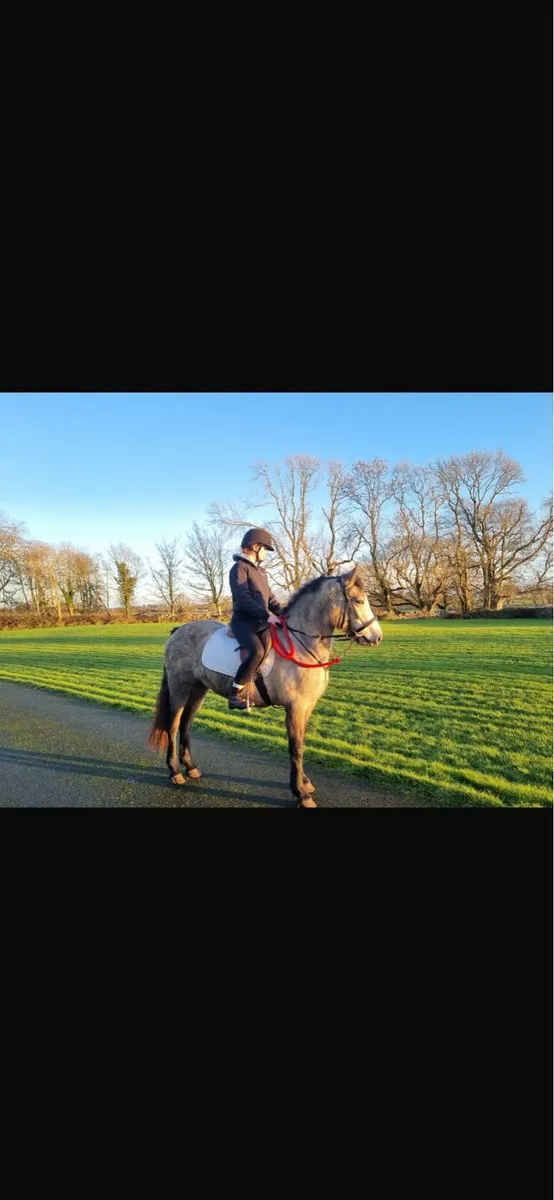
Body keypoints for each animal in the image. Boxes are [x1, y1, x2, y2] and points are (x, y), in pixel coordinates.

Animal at [148, 565, 383, 807]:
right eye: (357, 600)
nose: (376, 637)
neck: (301, 644)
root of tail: (178, 630)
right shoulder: (295, 707)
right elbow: (296, 747)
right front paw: (301, 793)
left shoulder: (307, 707)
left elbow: (301, 742)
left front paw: (304, 783)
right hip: (180, 687)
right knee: (173, 725)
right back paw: (175, 771)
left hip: (198, 690)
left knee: (186, 724)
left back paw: (191, 767)